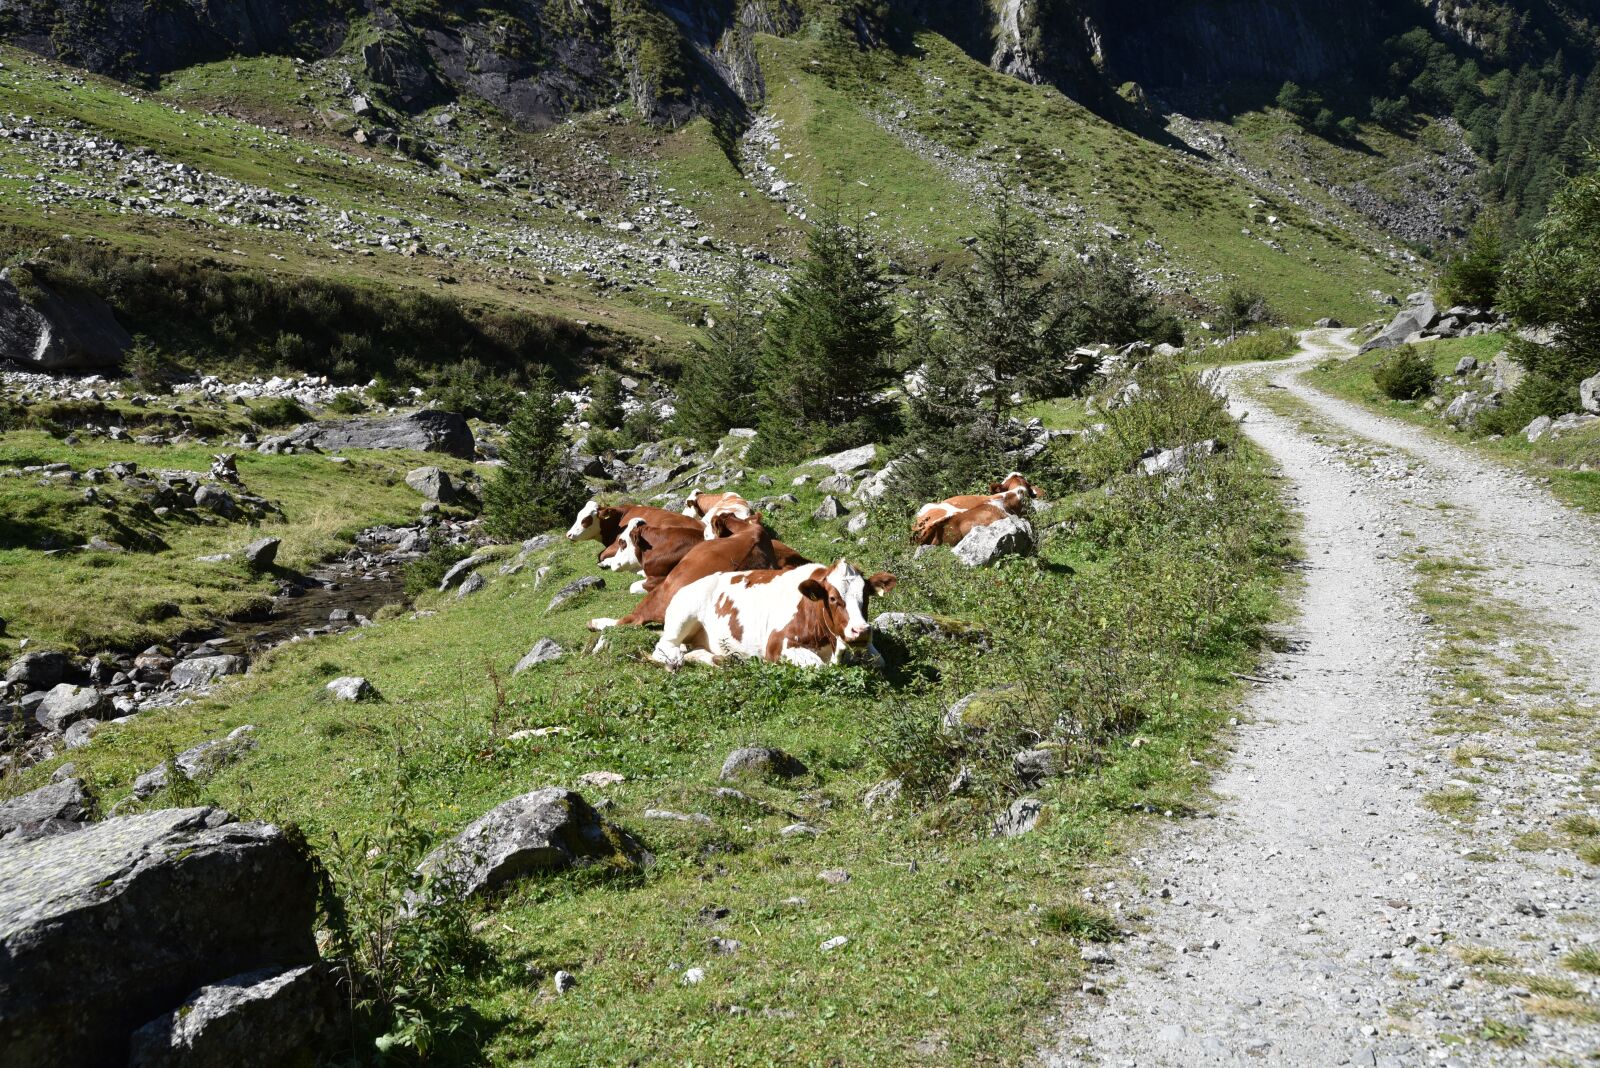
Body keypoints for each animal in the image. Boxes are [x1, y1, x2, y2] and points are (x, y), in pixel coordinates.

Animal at [588, 513, 807, 630]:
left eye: (622, 542)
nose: (608, 561)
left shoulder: (657, 579)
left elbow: (634, 586)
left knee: (629, 619)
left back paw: (596, 622)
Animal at [651, 560, 897, 669]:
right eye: (833, 598)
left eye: (866, 595)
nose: (861, 631)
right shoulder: (777, 645)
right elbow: (819, 665)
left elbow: (880, 660)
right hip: (682, 617)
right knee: (664, 649)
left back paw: (717, 658)